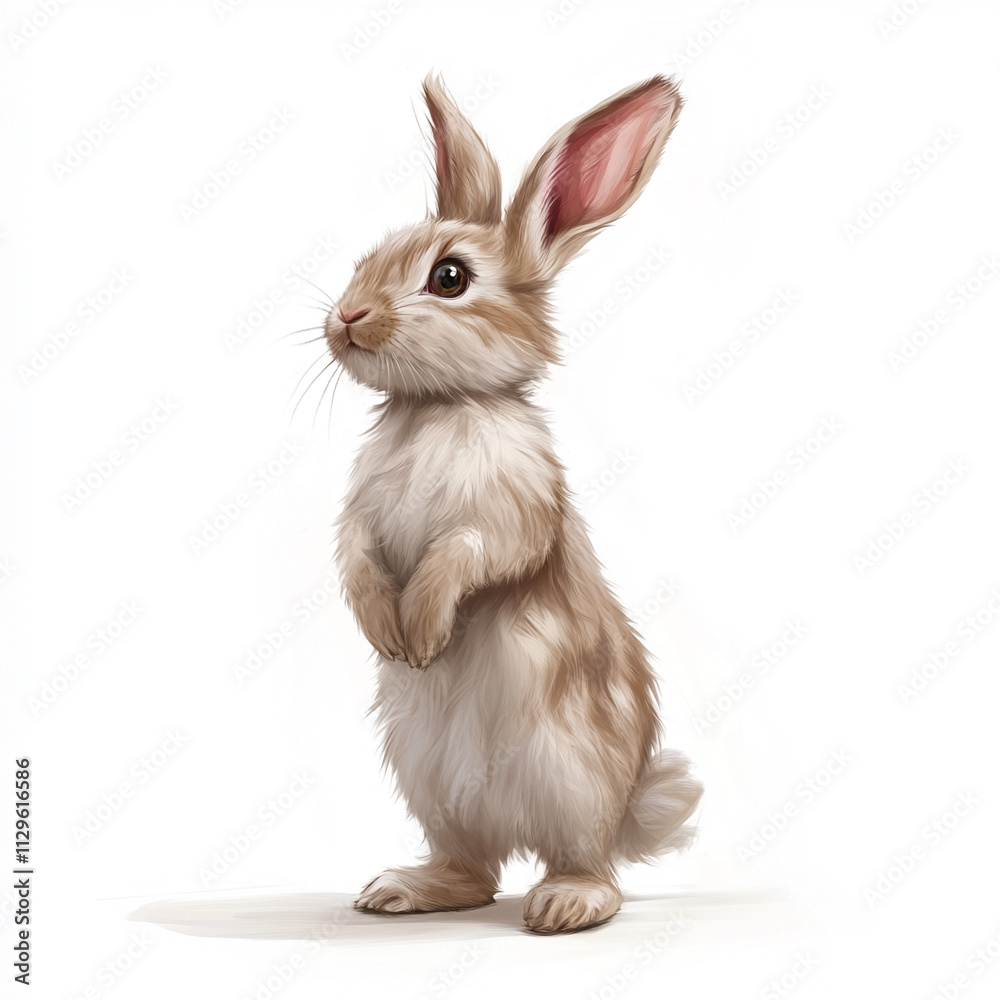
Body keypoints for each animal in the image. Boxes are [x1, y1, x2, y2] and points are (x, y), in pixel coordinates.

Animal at [326, 74, 703, 934]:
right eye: (365, 259)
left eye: (450, 277)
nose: (345, 319)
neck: (438, 404)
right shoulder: (357, 518)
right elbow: (357, 555)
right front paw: (387, 630)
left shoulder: (512, 515)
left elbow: (469, 552)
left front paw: (422, 630)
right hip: (429, 782)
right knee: (474, 871)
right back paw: (399, 890)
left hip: (572, 780)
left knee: (585, 865)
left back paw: (562, 906)